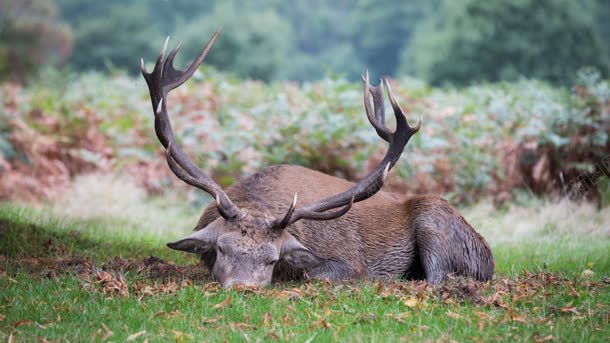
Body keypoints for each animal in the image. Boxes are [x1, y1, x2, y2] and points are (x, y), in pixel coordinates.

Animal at [140, 29, 492, 288]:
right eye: (221, 248)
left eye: (272, 259)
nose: (243, 286)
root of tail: (489, 258)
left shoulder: (350, 262)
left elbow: (316, 274)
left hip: (435, 223)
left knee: (437, 278)